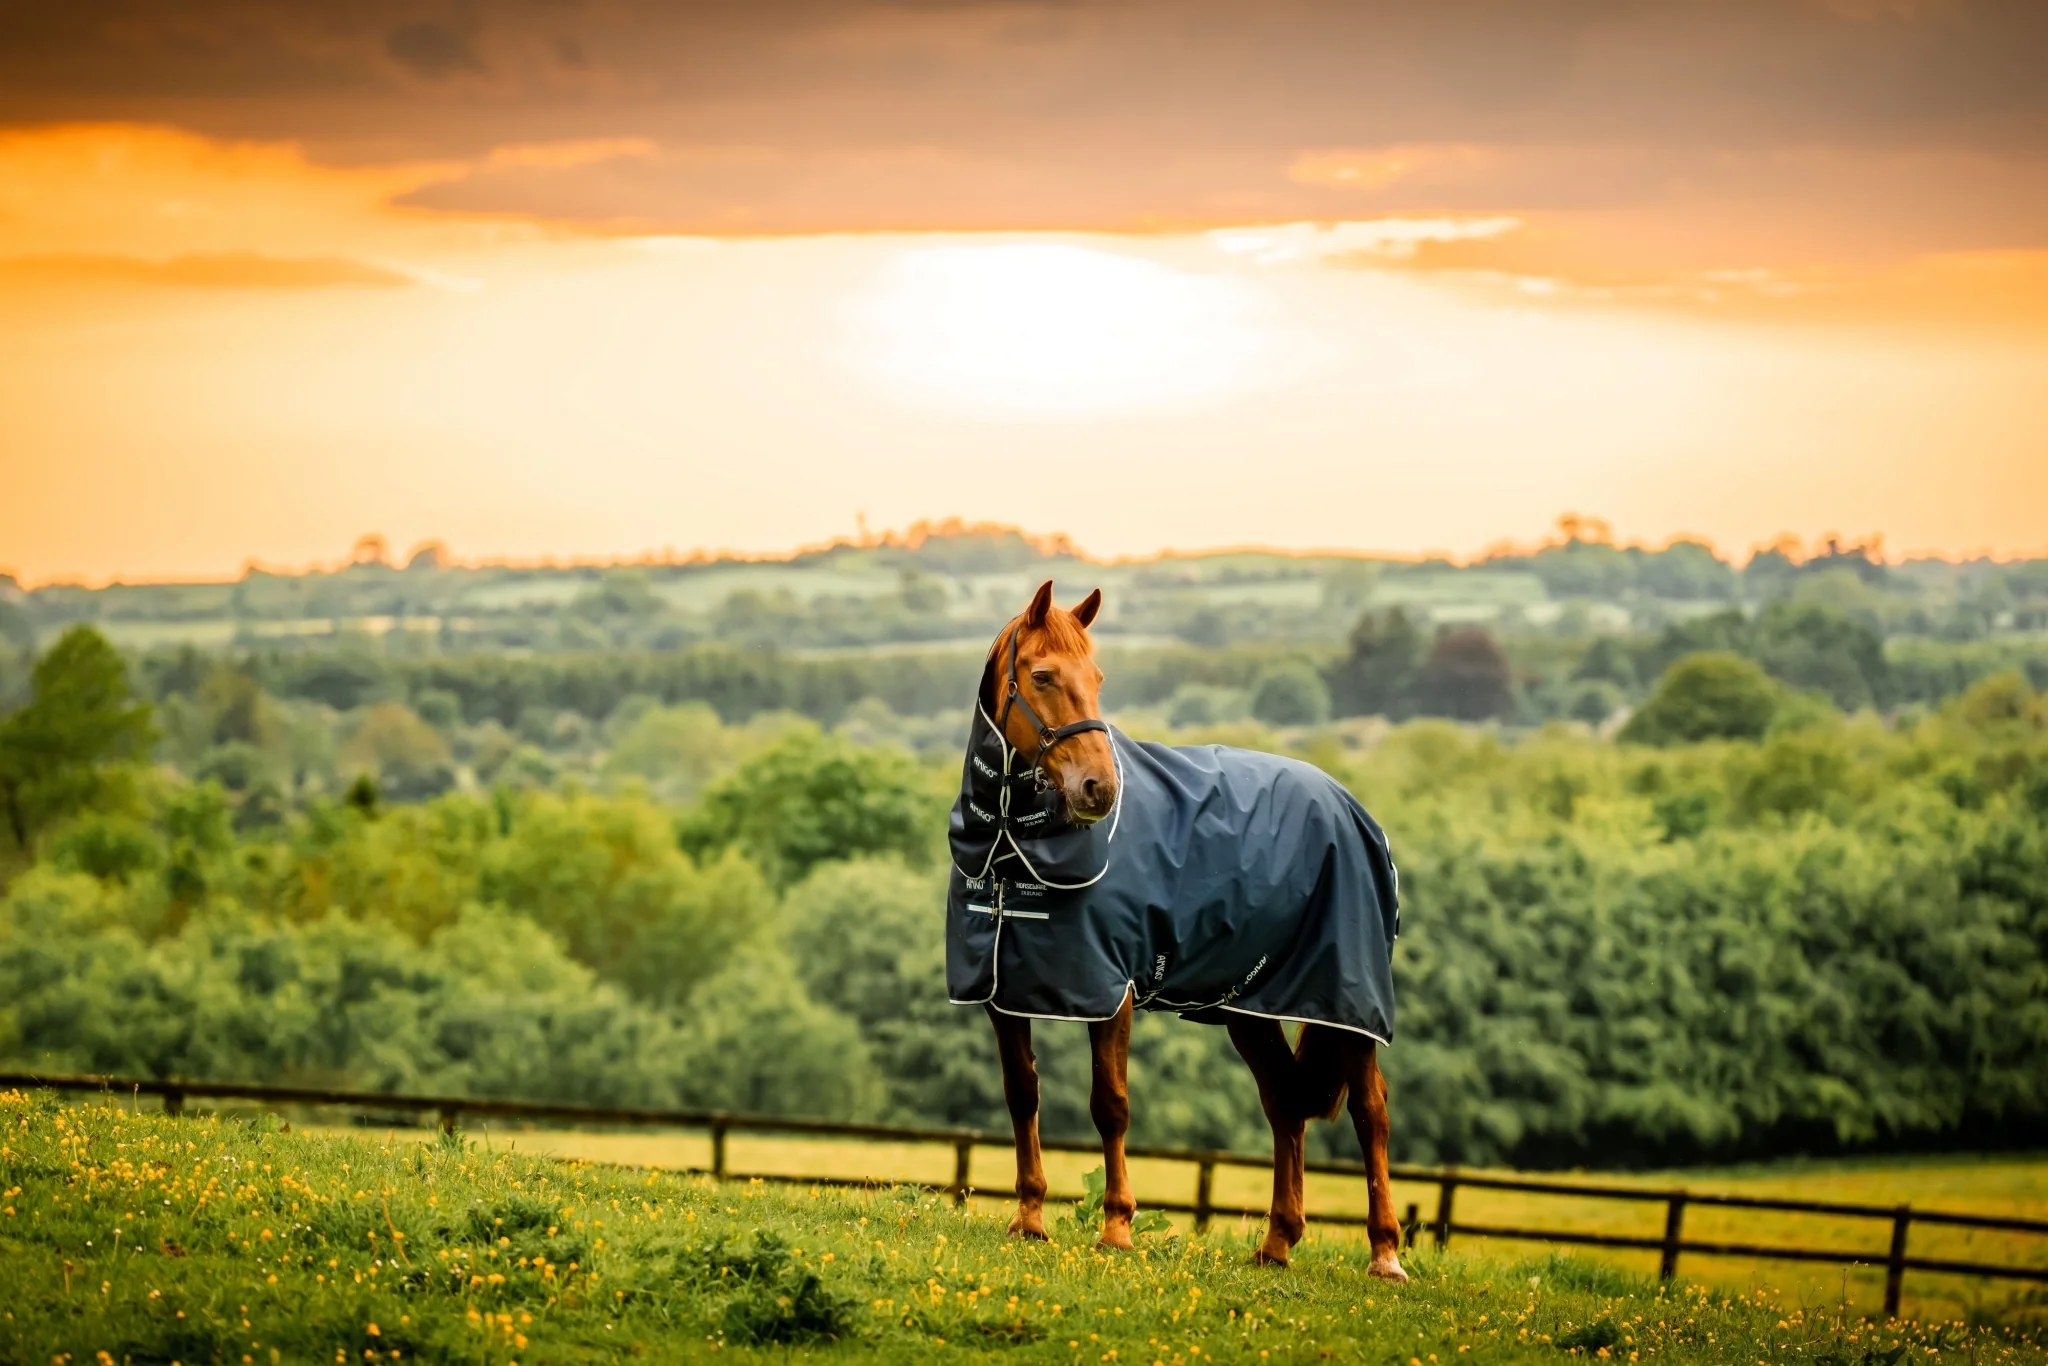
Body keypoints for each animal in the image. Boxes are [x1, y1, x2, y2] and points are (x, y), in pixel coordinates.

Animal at [946, 580, 1408, 1282]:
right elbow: (1022, 1095)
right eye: (1044, 675)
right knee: (1284, 1103)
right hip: (1250, 1007)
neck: (1010, 849)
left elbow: (1110, 1104)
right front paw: (1029, 1219)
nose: (1099, 790)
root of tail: (1354, 810)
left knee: (1370, 1112)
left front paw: (1116, 1228)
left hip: (1346, 1003)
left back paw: (1385, 1254)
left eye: (1097, 678)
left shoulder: (1111, 992)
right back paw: (1277, 1243)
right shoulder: (1004, 993)